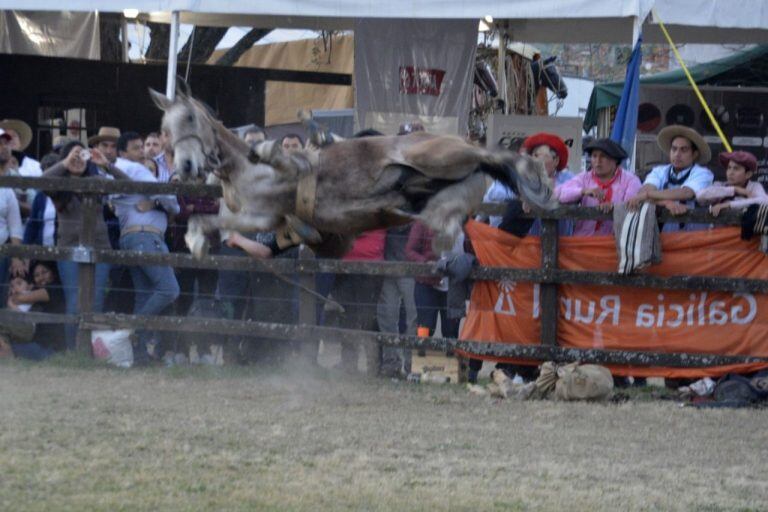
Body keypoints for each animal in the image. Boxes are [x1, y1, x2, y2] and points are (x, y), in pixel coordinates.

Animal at [148, 86, 560, 260]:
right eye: (165, 127)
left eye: (189, 118)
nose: (185, 167)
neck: (243, 169)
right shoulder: (259, 220)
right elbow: (206, 222)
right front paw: (197, 243)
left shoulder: (273, 198)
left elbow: (281, 164)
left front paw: (273, 148)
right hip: (445, 198)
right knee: (445, 214)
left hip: (438, 155)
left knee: (486, 152)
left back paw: (534, 169)